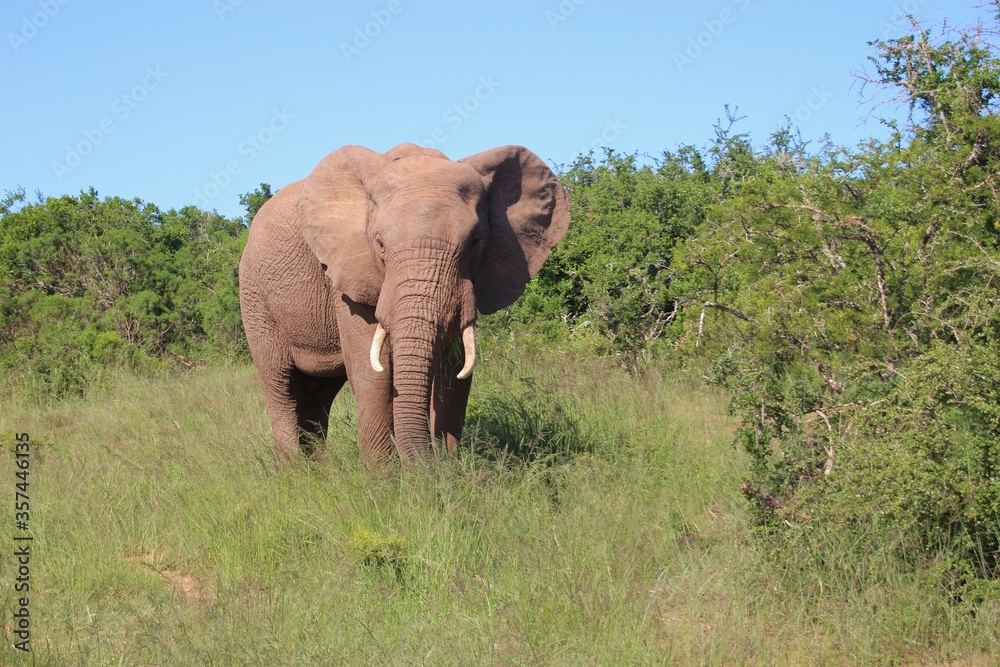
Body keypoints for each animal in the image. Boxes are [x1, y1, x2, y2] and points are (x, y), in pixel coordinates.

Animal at [238, 143, 570, 462]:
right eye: (379, 244)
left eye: (475, 242)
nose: (431, 461)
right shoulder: (348, 275)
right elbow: (372, 373)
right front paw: (383, 478)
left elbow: (455, 373)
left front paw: (447, 469)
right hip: (254, 298)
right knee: (281, 385)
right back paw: (293, 469)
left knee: (318, 394)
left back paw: (316, 467)